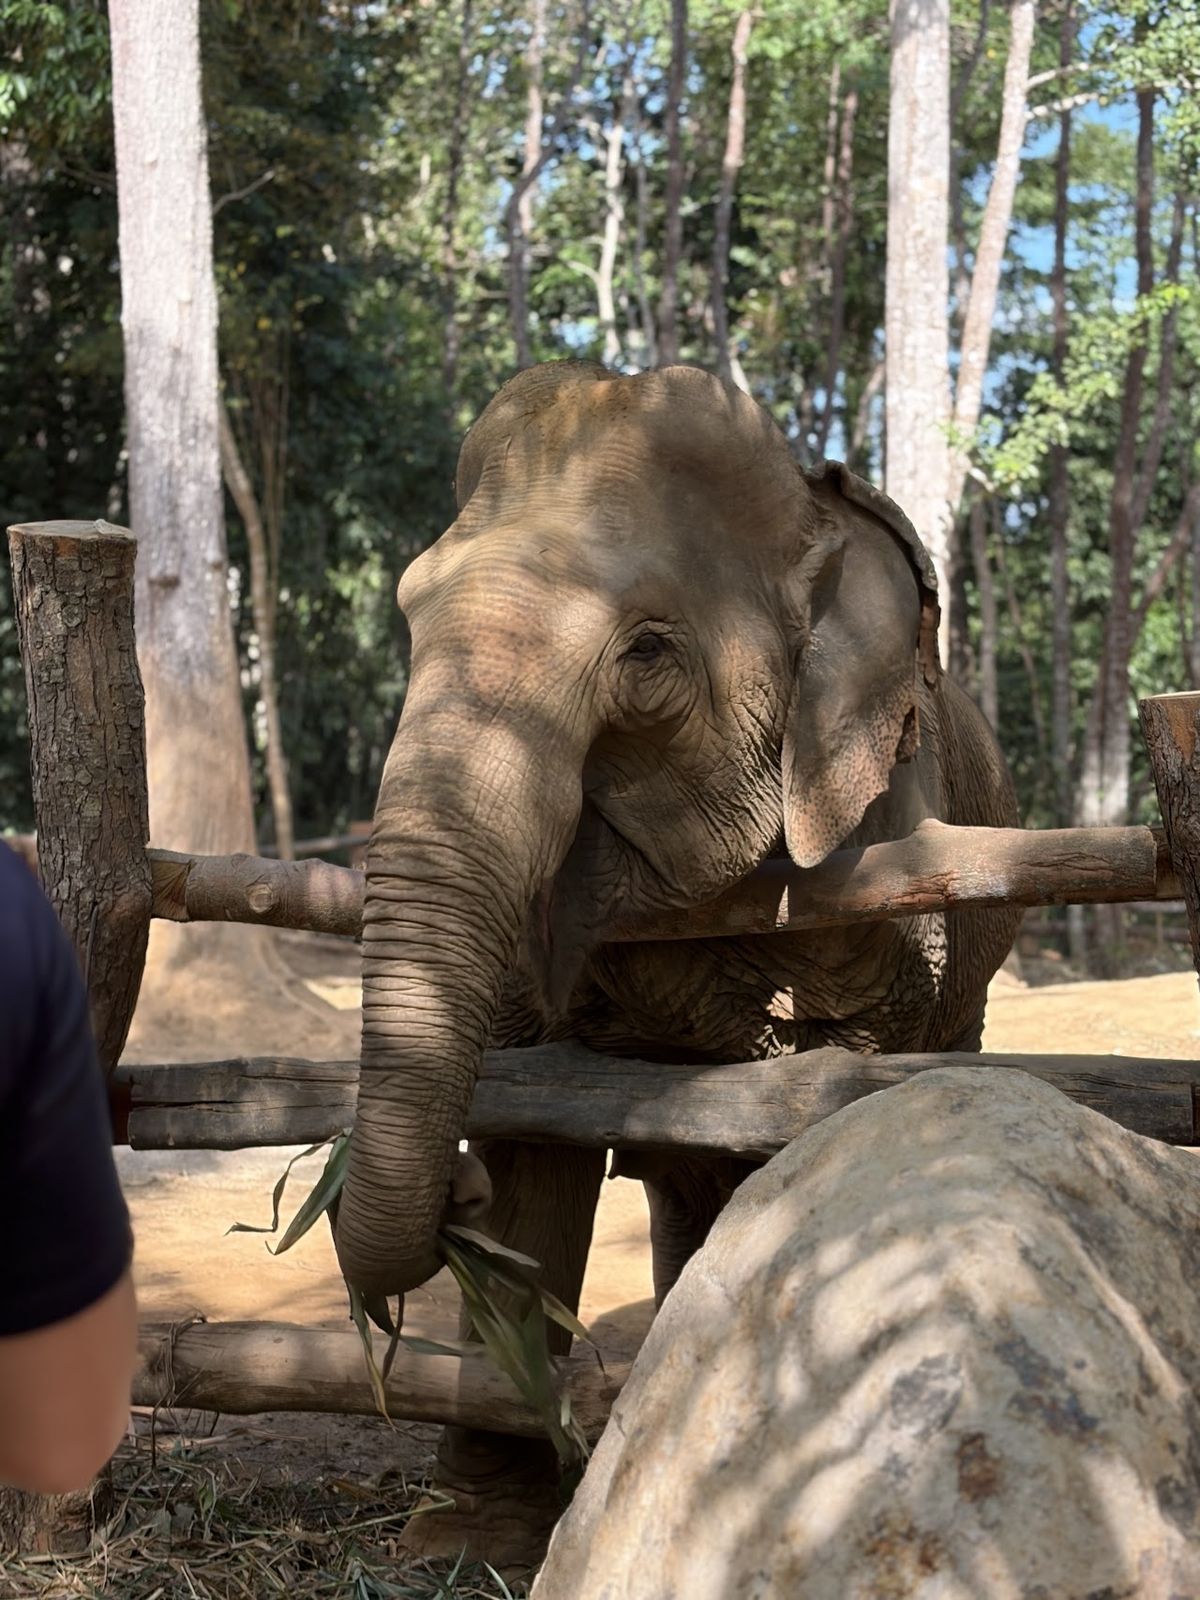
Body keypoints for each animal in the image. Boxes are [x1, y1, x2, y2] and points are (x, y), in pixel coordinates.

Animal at [332, 360, 1021, 1567]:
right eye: (410, 612)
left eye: (646, 650)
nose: (450, 1191)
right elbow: (533, 1140)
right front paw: (466, 1539)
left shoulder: (884, 861)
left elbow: (815, 1122)